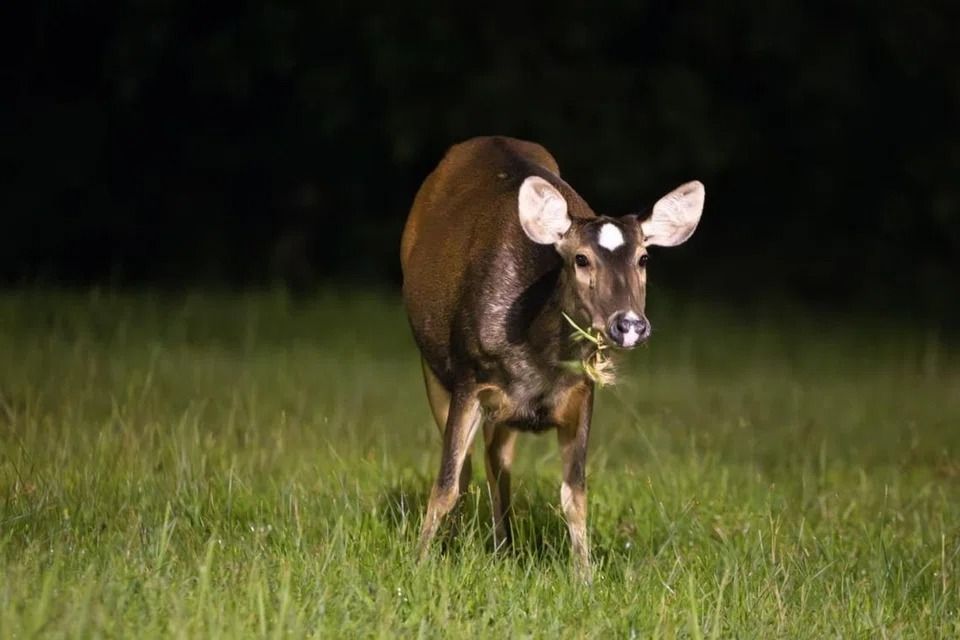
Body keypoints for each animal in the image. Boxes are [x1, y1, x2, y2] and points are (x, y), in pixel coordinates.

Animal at [400, 136, 704, 579]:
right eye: (580, 258)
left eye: (643, 258)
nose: (629, 324)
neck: (535, 359)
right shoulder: (469, 377)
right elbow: (445, 484)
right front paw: (419, 564)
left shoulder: (581, 394)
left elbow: (574, 494)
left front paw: (585, 577)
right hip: (432, 367)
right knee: (470, 466)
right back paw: (458, 542)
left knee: (497, 461)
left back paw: (504, 547)